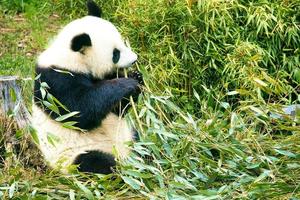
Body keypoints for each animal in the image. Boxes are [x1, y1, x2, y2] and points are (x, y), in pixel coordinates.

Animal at [31, 0, 143, 173]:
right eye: (115, 53)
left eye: (122, 43)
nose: (134, 59)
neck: (71, 59)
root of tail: (124, 157)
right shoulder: (54, 82)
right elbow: (80, 110)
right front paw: (127, 83)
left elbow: (117, 110)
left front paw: (136, 77)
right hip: (74, 157)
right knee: (95, 162)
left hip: (129, 136)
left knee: (140, 143)